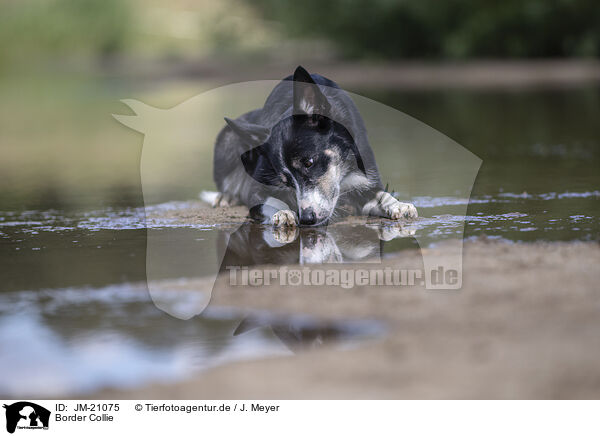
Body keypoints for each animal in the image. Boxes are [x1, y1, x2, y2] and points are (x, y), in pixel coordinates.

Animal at [211, 67, 418, 228]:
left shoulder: (366, 182)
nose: (307, 218)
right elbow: (269, 201)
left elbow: (382, 194)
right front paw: (284, 213)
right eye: (286, 181)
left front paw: (399, 205)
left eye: (309, 163)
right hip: (226, 140)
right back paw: (226, 197)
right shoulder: (257, 190)